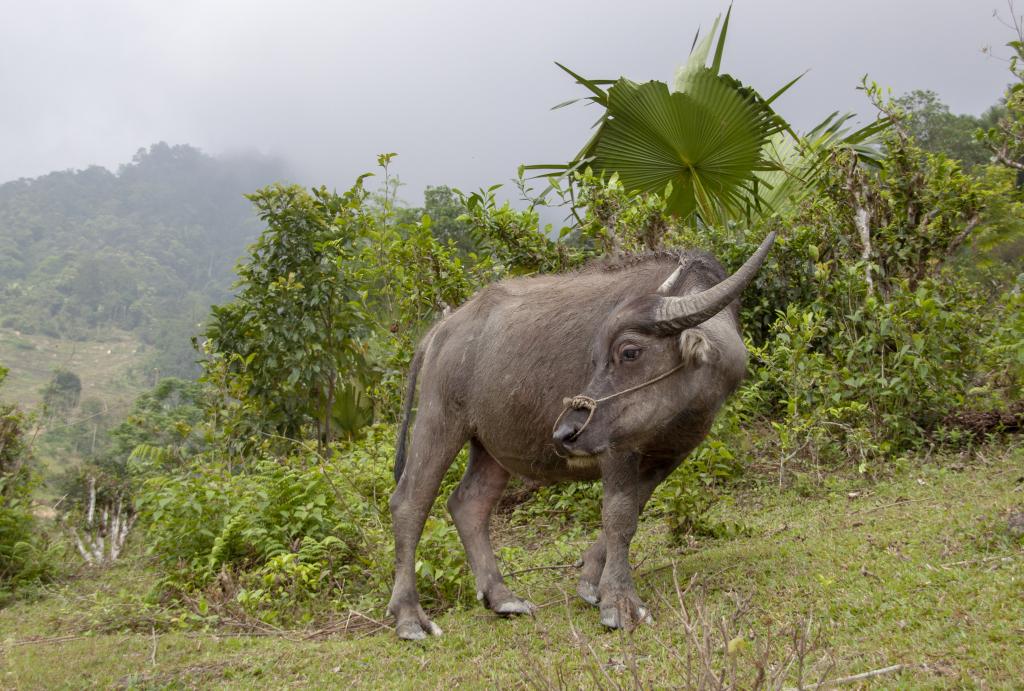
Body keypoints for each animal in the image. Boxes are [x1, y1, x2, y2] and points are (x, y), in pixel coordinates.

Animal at [387, 231, 770, 638]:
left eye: (629, 352)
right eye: (596, 358)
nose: (566, 432)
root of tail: (437, 333)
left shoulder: (669, 454)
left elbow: (634, 509)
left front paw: (590, 580)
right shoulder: (617, 448)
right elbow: (618, 516)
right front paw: (619, 602)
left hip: (490, 446)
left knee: (469, 503)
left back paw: (502, 597)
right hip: (439, 419)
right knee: (409, 502)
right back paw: (409, 616)